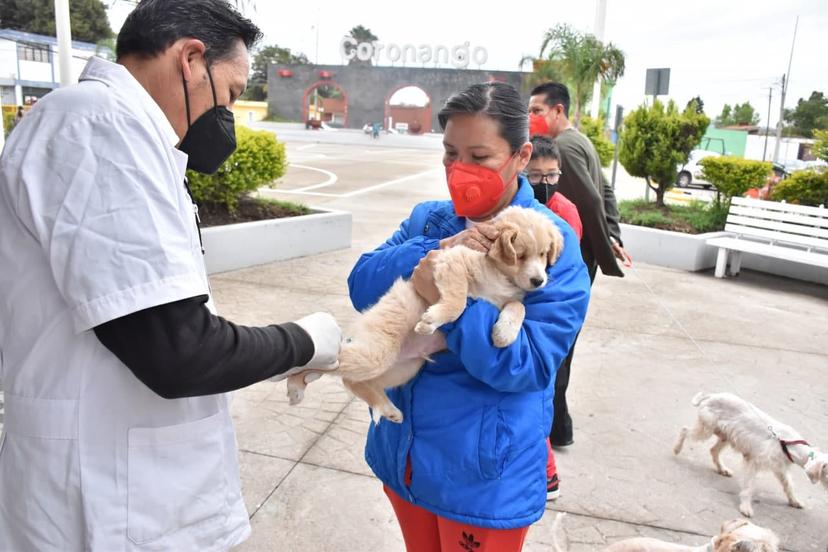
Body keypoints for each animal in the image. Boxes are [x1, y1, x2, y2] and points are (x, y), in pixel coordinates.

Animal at [672, 392, 828, 516]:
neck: (789, 444)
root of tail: (712, 395)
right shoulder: (753, 462)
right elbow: (749, 486)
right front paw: (746, 507)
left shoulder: (779, 468)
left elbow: (788, 485)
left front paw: (794, 501)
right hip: (706, 429)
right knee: (685, 430)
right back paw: (676, 449)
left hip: (725, 436)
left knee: (713, 450)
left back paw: (722, 469)